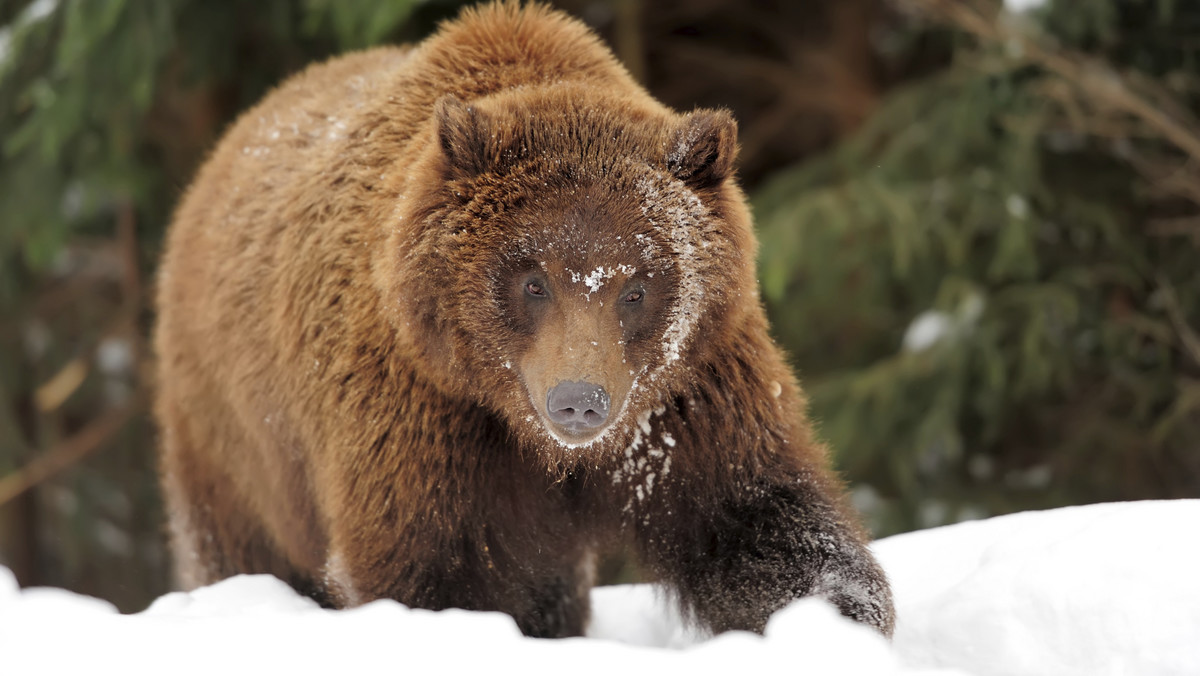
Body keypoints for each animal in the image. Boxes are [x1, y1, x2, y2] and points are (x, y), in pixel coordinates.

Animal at [154, 0, 892, 638]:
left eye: (636, 286)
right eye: (533, 281)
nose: (579, 402)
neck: (538, 444)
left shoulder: (687, 401)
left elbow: (761, 525)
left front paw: (834, 623)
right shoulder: (422, 415)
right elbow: (428, 569)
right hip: (235, 441)